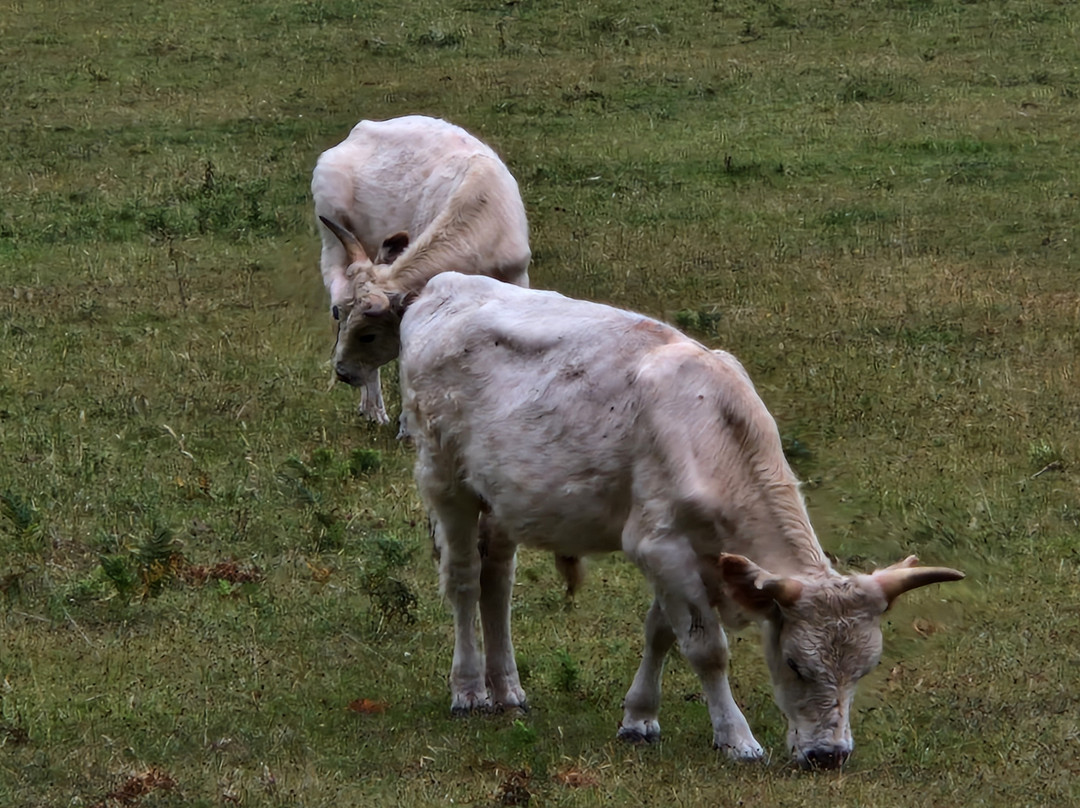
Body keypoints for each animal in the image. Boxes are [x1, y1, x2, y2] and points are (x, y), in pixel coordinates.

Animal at [311, 114, 531, 425]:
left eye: (369, 335)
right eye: (342, 322)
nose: (342, 373)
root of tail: (358, 131)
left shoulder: (517, 277)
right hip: (332, 245)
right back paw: (374, 410)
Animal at [395, 272, 964, 769]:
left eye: (866, 668)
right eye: (795, 664)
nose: (829, 756)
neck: (714, 431)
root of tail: (445, 286)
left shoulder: (696, 555)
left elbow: (661, 632)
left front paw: (639, 718)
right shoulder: (659, 545)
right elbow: (707, 648)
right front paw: (736, 737)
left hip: (501, 499)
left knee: (497, 581)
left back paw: (508, 689)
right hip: (444, 478)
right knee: (464, 579)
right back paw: (469, 690)